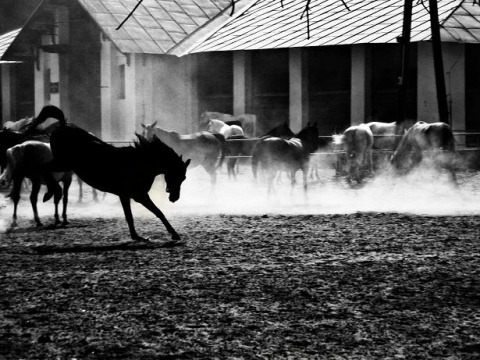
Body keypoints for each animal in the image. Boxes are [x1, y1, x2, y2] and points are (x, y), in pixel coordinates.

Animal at [24, 106, 189, 242]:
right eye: (179, 175)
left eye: (184, 178)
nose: (174, 198)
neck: (139, 162)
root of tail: (63, 126)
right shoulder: (139, 195)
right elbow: (157, 212)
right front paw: (174, 234)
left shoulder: (126, 195)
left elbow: (130, 216)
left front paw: (136, 236)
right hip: (63, 162)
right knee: (44, 168)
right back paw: (50, 193)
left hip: (63, 163)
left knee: (44, 170)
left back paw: (51, 193)